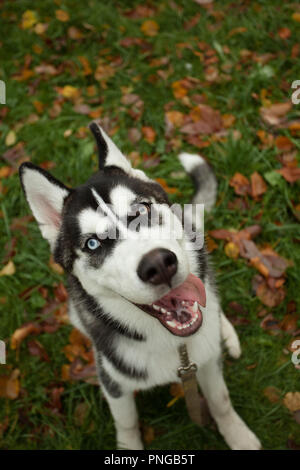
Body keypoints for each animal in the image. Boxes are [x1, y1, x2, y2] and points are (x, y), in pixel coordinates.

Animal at [19, 123, 262, 450]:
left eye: (143, 210)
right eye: (92, 243)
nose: (159, 265)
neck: (173, 345)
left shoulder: (207, 362)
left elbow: (221, 401)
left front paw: (238, 435)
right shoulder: (113, 382)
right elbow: (127, 424)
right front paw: (129, 447)